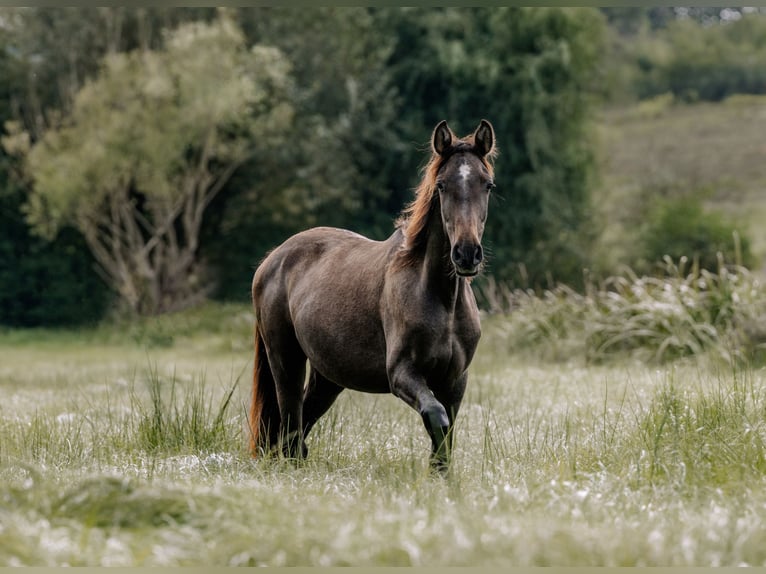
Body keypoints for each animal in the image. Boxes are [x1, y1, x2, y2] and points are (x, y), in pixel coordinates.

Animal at [248, 119, 498, 474]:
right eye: (442, 185)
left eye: (487, 184)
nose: (466, 254)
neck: (439, 298)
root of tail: (271, 260)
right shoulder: (401, 374)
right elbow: (436, 418)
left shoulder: (454, 381)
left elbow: (444, 439)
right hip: (285, 360)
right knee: (290, 428)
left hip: (328, 376)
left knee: (296, 428)